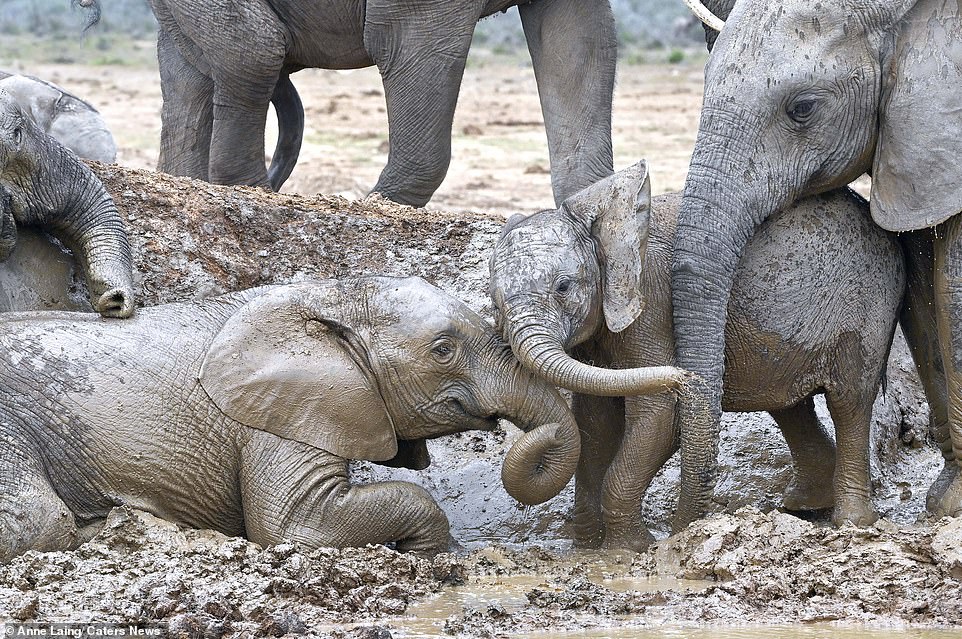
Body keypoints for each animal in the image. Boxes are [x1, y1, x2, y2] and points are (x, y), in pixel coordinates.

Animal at [0, 278, 576, 564]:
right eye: (443, 350)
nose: (541, 432)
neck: (329, 296)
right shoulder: (274, 417)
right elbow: (294, 526)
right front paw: (436, 556)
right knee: (41, 518)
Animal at [492, 161, 904, 552]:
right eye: (494, 302)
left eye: (563, 287)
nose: (686, 377)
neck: (604, 223)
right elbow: (594, 423)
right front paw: (587, 549)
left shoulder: (651, 306)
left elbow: (660, 415)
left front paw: (628, 550)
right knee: (790, 406)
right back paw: (804, 507)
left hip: (869, 305)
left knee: (849, 401)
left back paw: (851, 522)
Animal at [672, 0, 960, 520]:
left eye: (802, 108)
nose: (683, 527)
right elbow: (923, 289)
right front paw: (948, 499)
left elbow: (953, 286)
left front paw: (949, 505)